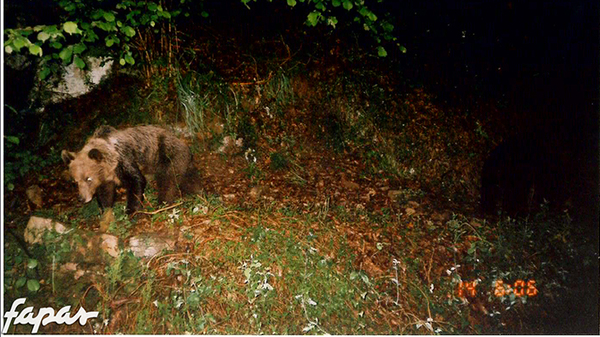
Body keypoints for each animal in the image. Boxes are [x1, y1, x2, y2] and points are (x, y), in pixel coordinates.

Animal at [63, 124, 200, 218]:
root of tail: (183, 142)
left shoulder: (125, 160)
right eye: (75, 181)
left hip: (166, 154)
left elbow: (136, 181)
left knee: (168, 179)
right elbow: (105, 194)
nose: (82, 198)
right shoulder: (106, 179)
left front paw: (131, 210)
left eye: (88, 178)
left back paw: (164, 202)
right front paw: (105, 211)